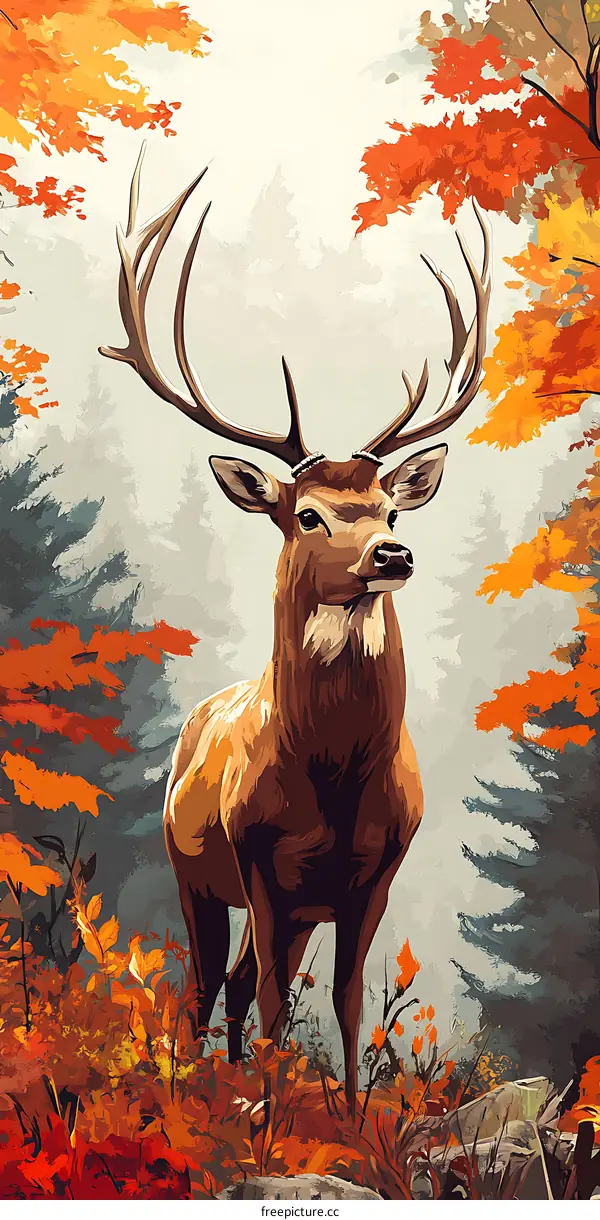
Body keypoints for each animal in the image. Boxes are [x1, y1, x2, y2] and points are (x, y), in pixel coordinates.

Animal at [100, 146, 491, 1118]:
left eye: (392, 505)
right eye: (307, 514)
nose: (394, 552)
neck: (334, 781)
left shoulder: (370, 877)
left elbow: (347, 1002)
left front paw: (345, 1119)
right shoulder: (259, 860)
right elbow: (277, 998)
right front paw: (269, 1121)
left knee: (241, 982)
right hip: (195, 868)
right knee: (209, 984)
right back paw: (203, 1091)